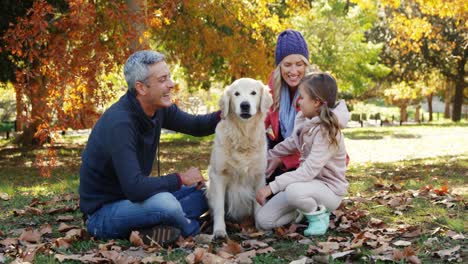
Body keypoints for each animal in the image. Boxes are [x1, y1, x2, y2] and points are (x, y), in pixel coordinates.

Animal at [207, 77, 272, 239]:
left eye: (253, 93)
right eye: (236, 94)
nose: (245, 105)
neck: (243, 135)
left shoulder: (259, 175)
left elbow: (258, 204)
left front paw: (260, 228)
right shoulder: (218, 175)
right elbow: (219, 208)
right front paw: (219, 231)